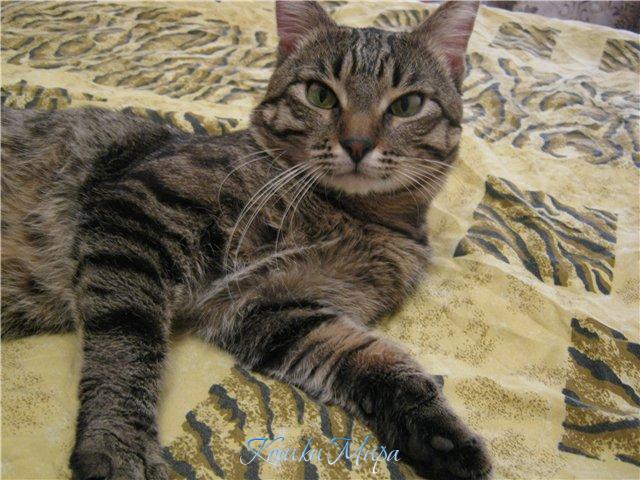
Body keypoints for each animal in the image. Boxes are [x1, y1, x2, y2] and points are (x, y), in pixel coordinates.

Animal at [1, 1, 492, 479]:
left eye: (408, 105)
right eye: (320, 95)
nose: (356, 143)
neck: (349, 214)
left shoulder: (274, 309)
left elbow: (375, 359)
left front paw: (440, 434)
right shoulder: (136, 211)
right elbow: (126, 346)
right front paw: (120, 445)